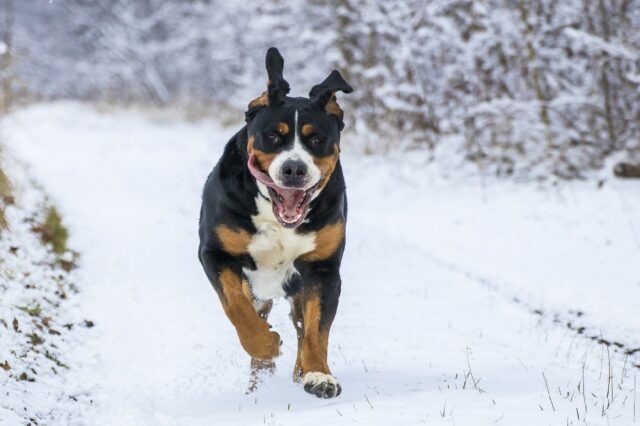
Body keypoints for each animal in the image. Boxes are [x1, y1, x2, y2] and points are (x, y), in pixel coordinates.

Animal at [198, 47, 352, 400]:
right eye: (272, 136)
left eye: (317, 139)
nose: (294, 169)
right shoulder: (216, 253)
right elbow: (237, 308)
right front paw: (266, 343)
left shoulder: (323, 269)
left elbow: (316, 330)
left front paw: (319, 375)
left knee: (301, 325)